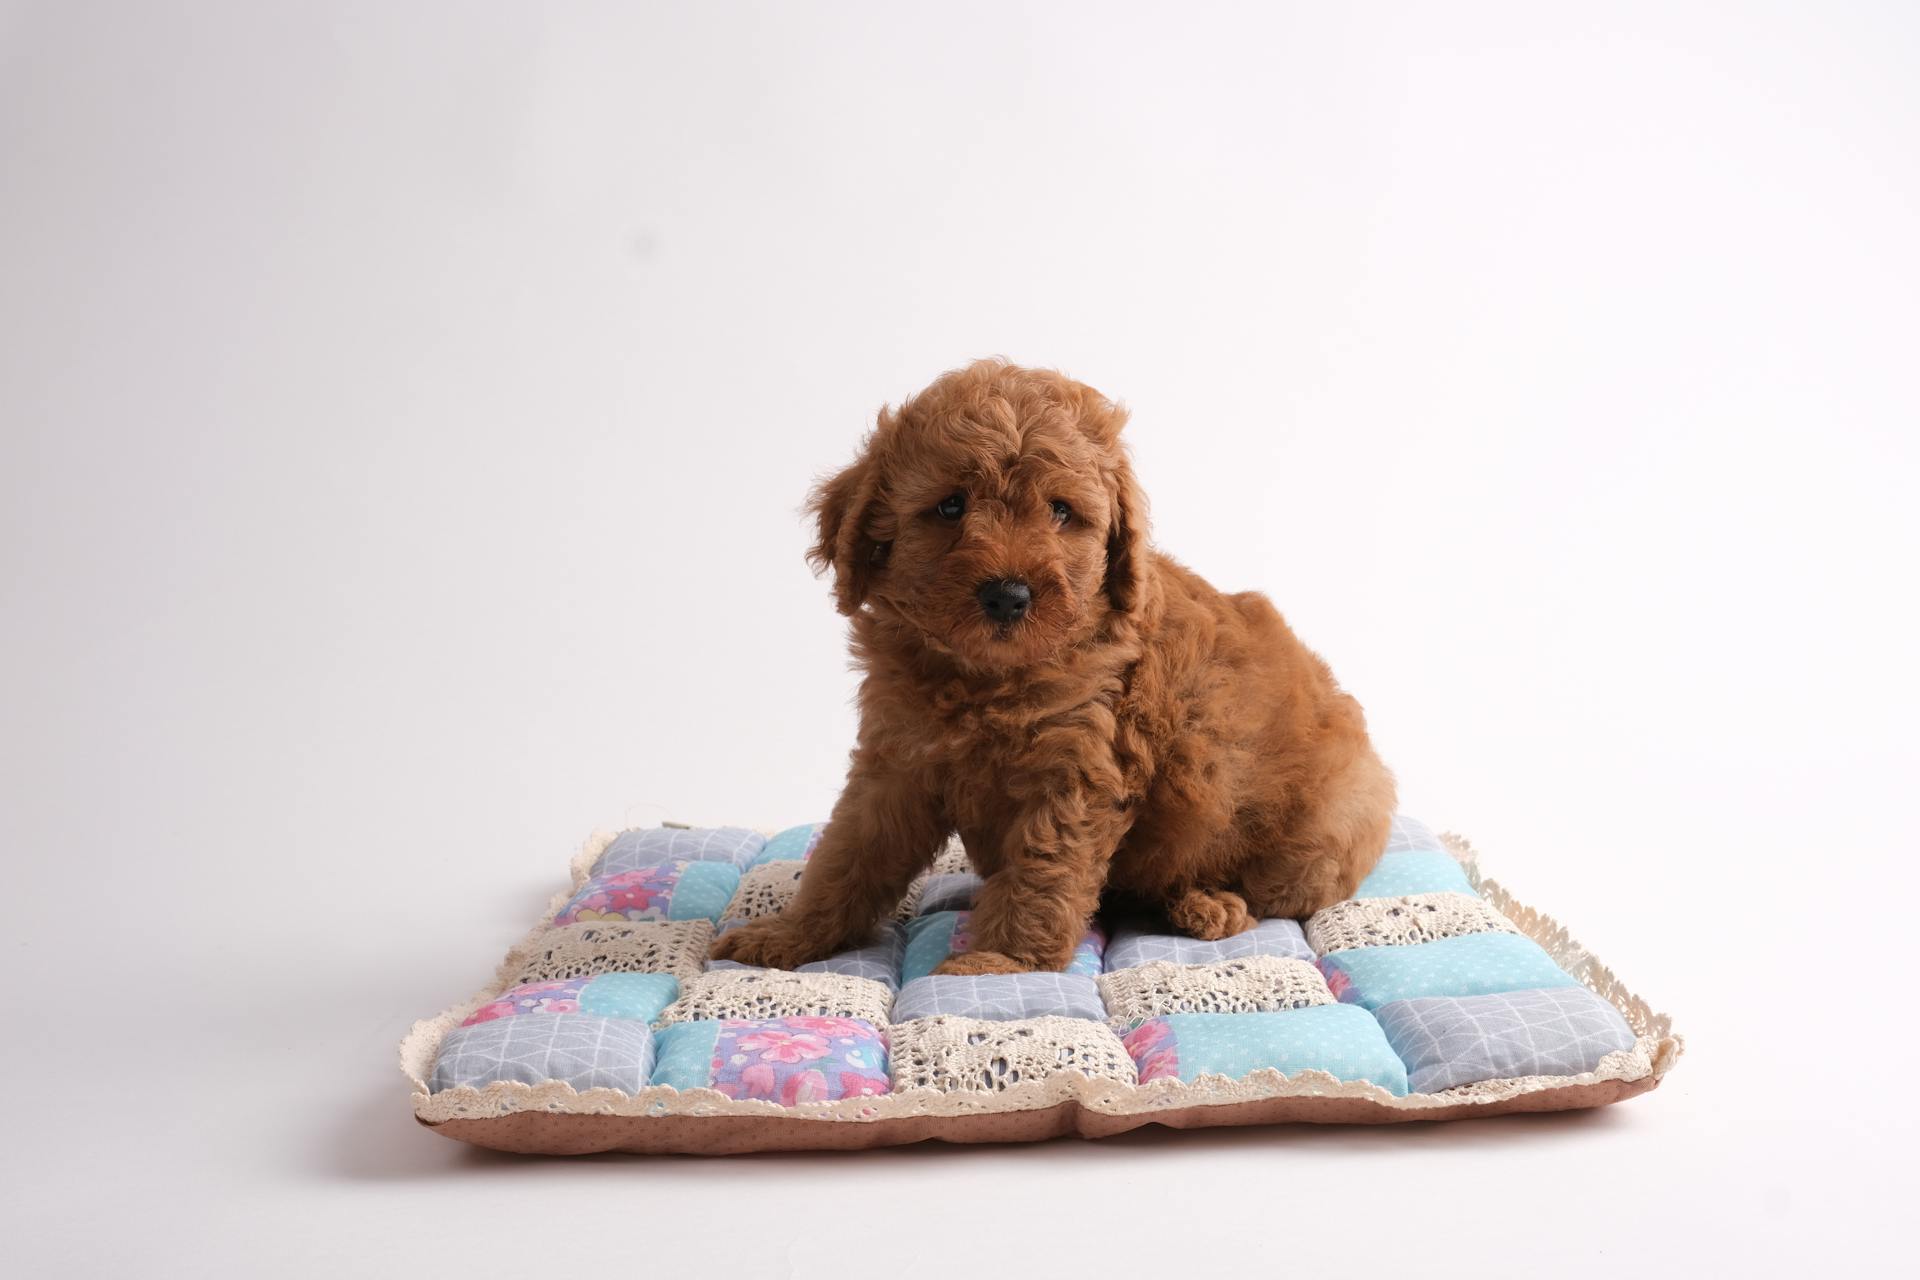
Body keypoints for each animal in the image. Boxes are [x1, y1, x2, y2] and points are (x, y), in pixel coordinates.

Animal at [714, 355, 1390, 974]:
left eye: (1062, 511)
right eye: (951, 506)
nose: (1008, 595)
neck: (986, 678)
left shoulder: (1077, 770)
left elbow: (1043, 868)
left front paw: (1002, 961)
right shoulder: (897, 762)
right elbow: (848, 853)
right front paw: (791, 935)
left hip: (1319, 829)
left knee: (1270, 893)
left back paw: (1208, 902)